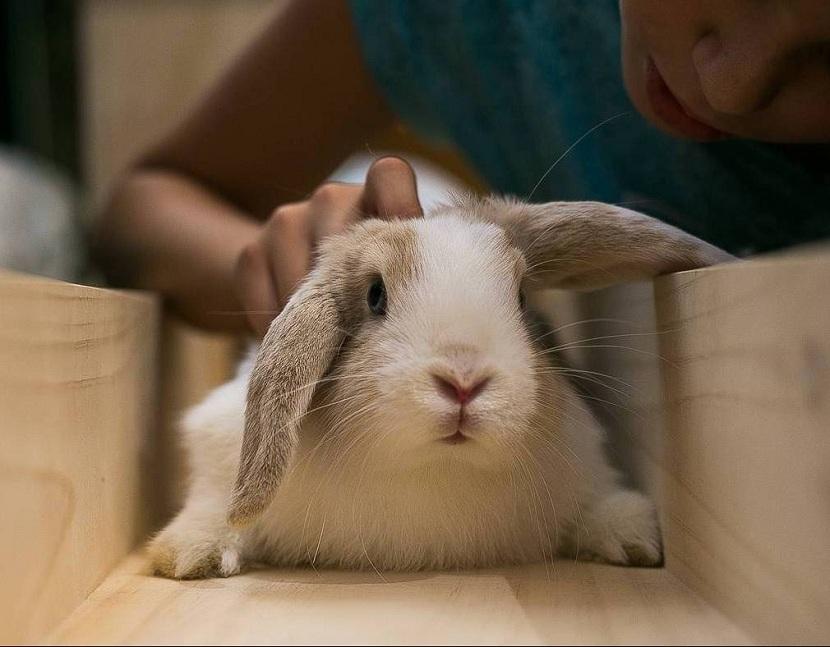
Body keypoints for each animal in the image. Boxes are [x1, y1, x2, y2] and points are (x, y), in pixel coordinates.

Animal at [150, 195, 736, 580]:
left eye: (522, 296)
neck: (435, 471)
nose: (463, 380)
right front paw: (191, 553)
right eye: (376, 295)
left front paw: (631, 536)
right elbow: (214, 504)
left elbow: (598, 504)